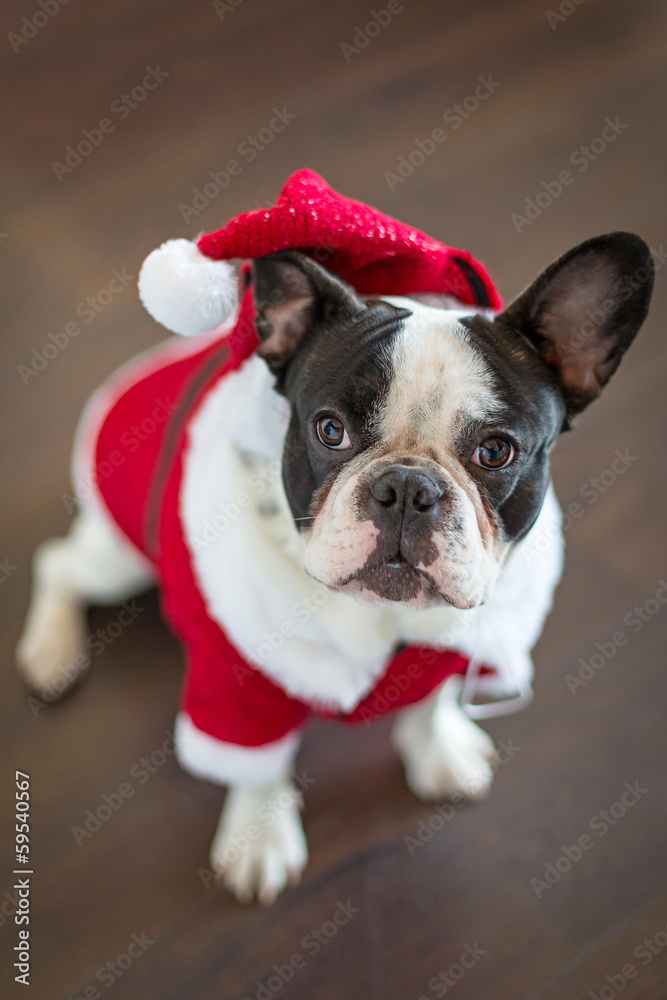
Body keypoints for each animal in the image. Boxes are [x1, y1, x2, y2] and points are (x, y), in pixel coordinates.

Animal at [14, 207, 652, 904]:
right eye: (329, 431)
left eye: (496, 451)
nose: (407, 488)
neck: (384, 617)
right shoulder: (235, 679)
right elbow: (255, 765)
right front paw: (259, 838)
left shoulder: (447, 648)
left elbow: (430, 704)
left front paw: (439, 753)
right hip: (122, 557)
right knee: (58, 563)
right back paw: (50, 653)